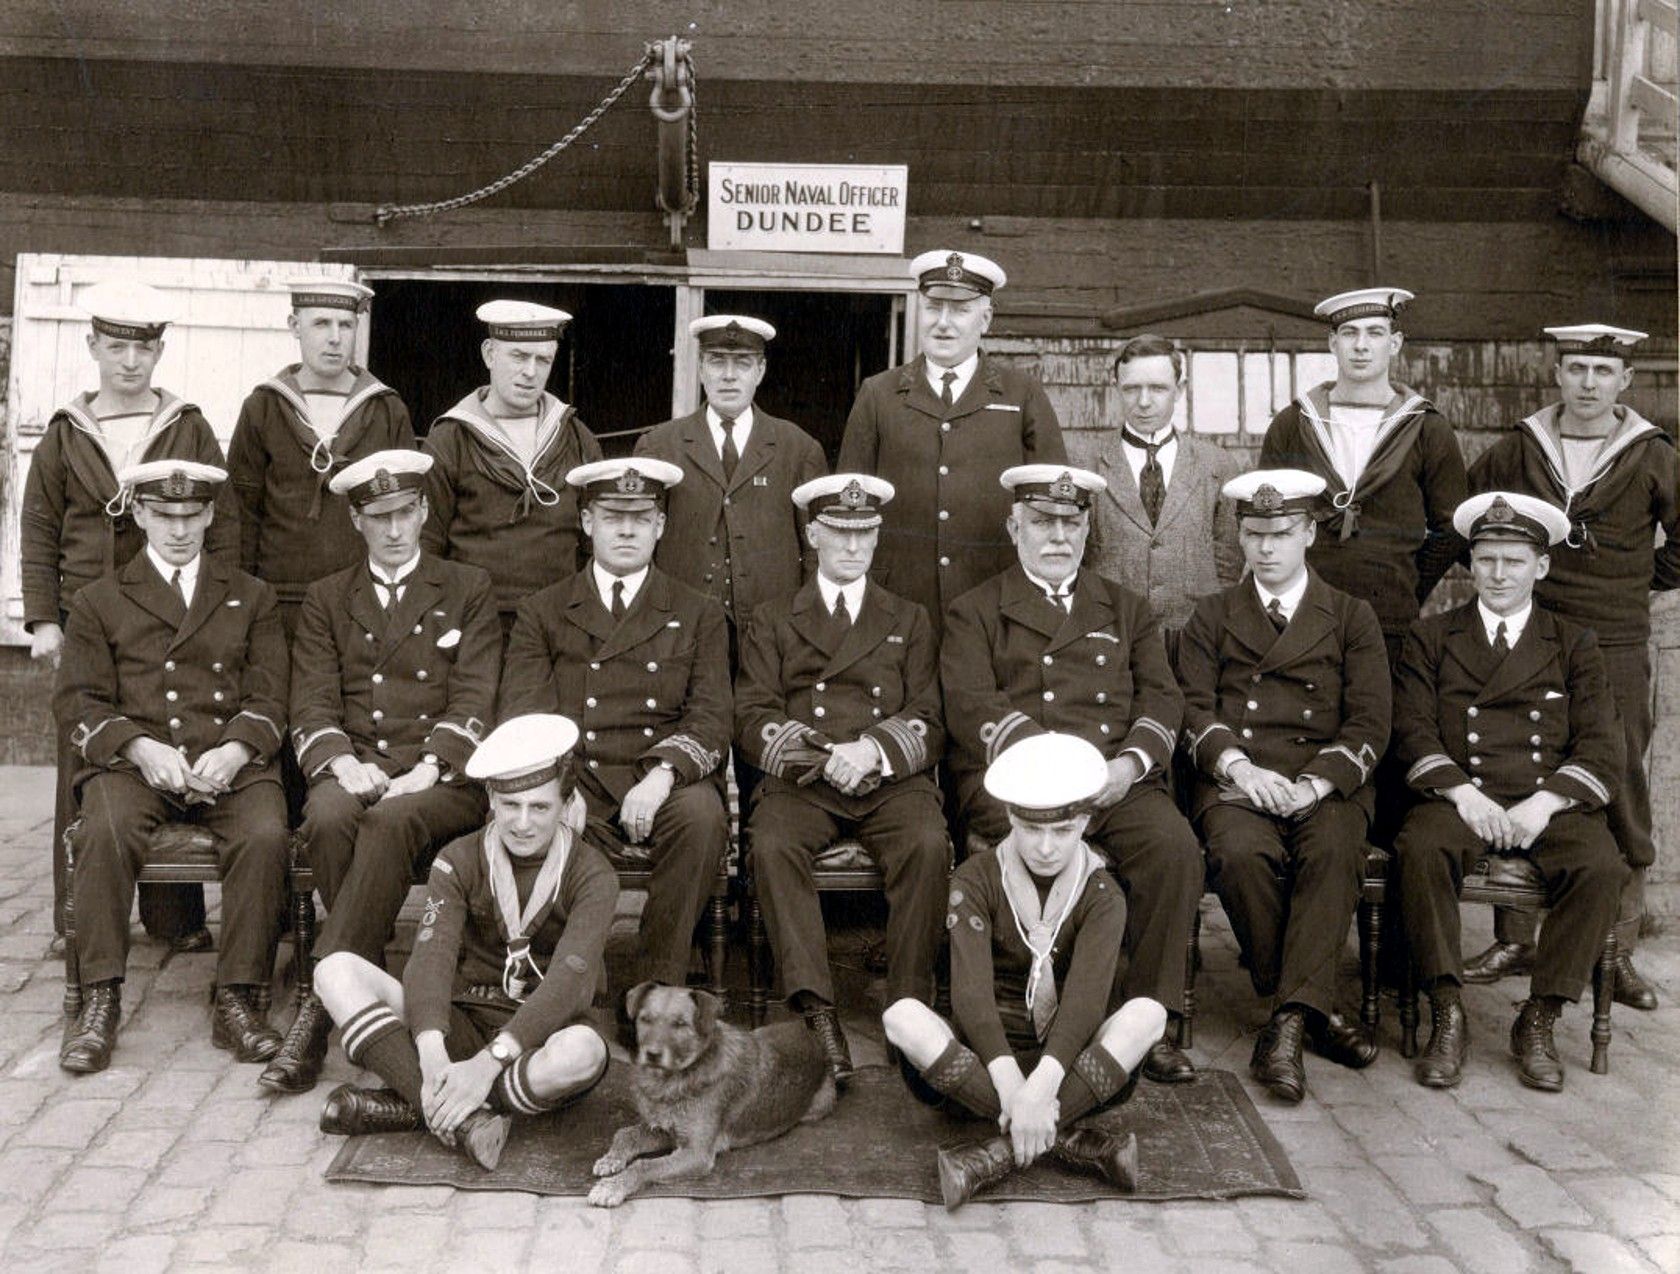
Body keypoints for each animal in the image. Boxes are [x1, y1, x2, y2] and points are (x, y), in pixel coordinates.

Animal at [591, 988, 840, 1210]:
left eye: (680, 1024)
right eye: (645, 1019)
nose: (652, 1054)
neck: (675, 1078)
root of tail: (814, 1040)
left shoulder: (697, 1153)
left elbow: (644, 1165)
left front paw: (611, 1187)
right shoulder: (665, 1130)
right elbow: (626, 1134)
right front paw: (611, 1159)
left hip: (818, 1106)